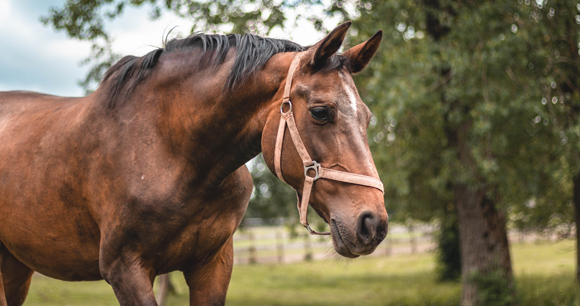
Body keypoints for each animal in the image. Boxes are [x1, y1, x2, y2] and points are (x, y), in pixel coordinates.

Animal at [1, 22, 390, 306]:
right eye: (321, 112)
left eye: (368, 117)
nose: (373, 223)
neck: (173, 152)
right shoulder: (125, 270)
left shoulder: (212, 265)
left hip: (15, 265)